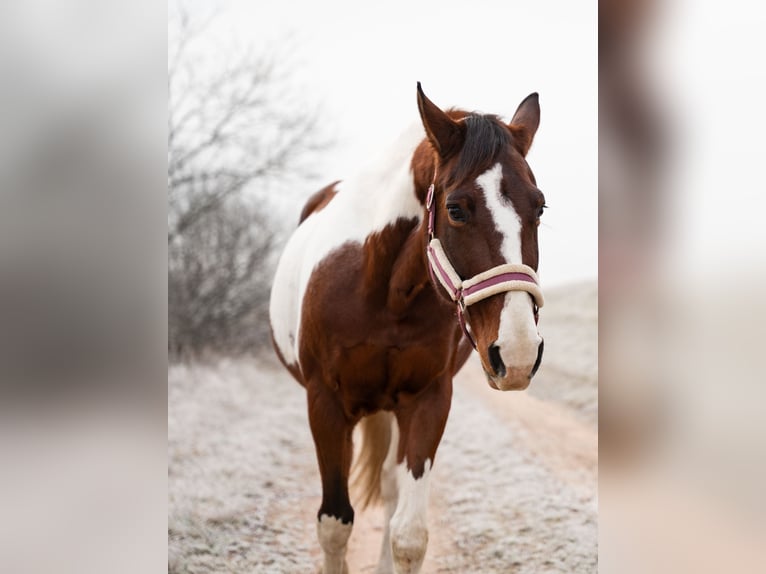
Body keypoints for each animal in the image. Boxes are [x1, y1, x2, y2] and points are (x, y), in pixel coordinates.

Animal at [269, 83, 546, 574]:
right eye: (456, 209)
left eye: (540, 208)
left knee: (391, 490)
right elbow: (334, 525)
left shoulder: (428, 401)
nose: (517, 353)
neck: (386, 294)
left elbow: (409, 535)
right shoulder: (324, 405)